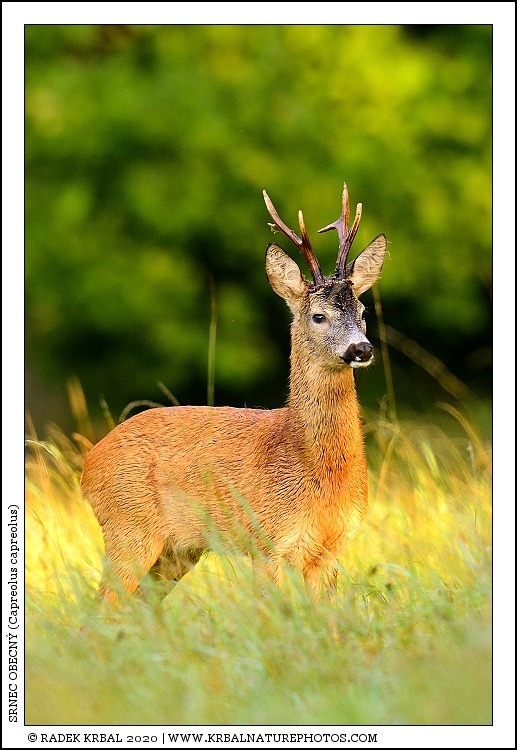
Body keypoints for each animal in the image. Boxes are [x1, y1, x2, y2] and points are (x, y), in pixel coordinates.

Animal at [81, 183, 387, 602]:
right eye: (318, 316)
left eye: (363, 311)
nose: (362, 349)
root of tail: (87, 466)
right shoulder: (267, 542)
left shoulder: (332, 549)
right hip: (128, 528)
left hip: (176, 551)